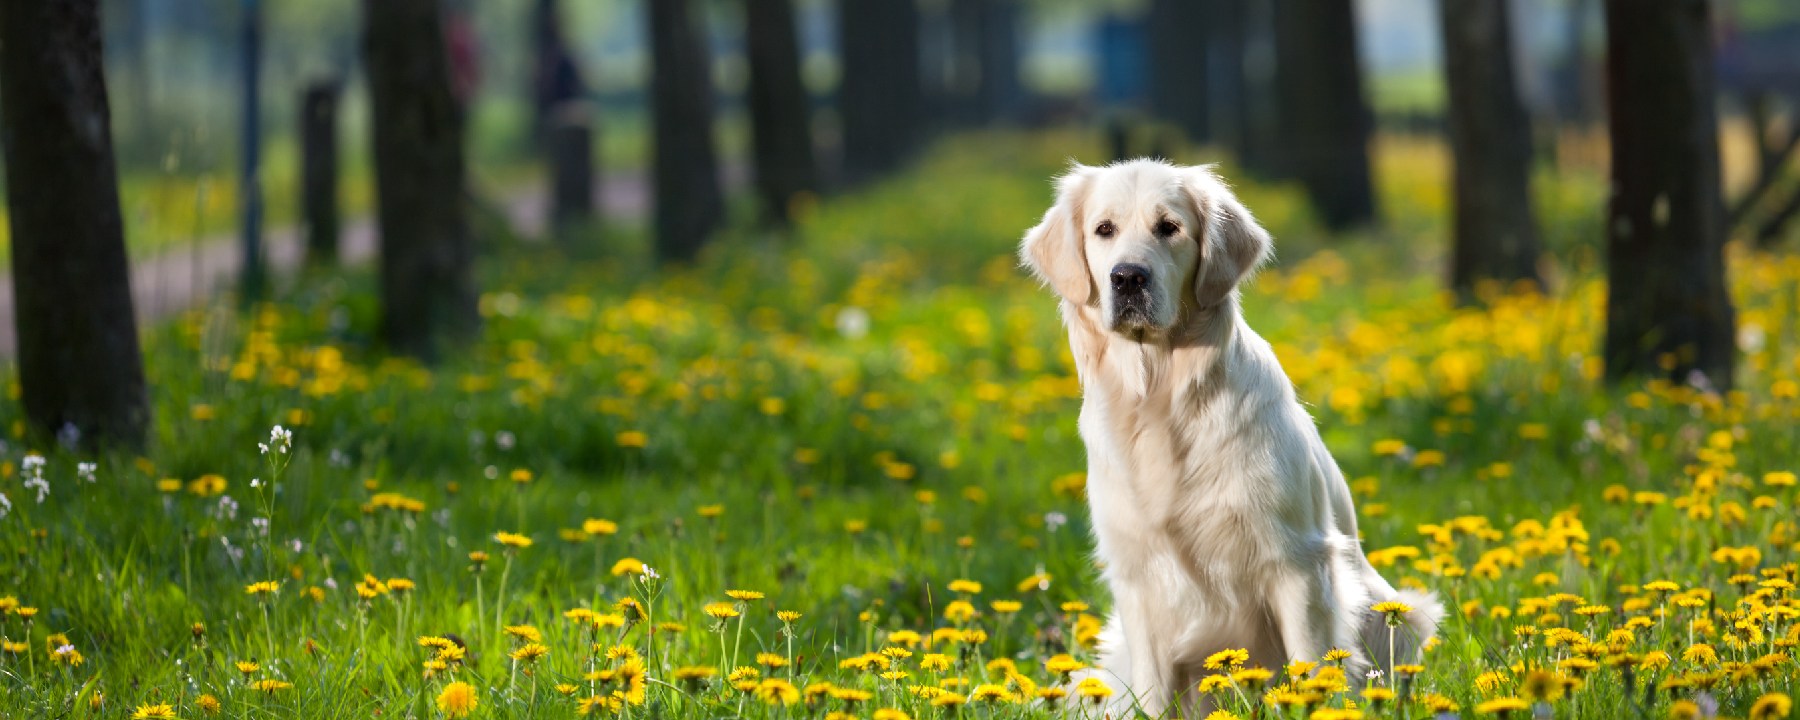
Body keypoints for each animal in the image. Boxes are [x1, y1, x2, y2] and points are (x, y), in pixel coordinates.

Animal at [1022, 157, 1440, 712]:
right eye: (1104, 229)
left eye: (1169, 227)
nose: (1127, 277)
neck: (1160, 401)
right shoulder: (1138, 579)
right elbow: (1153, 696)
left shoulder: (1297, 562)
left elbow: (1313, 666)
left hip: (1400, 613)